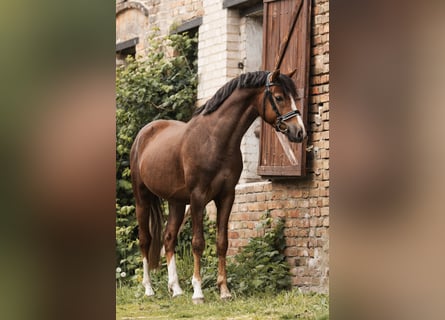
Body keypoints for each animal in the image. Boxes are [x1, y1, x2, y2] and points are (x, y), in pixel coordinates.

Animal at [129, 70, 306, 302]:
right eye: (278, 97)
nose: (299, 132)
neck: (214, 139)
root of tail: (144, 133)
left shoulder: (226, 196)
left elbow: (222, 242)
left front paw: (224, 291)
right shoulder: (198, 198)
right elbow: (198, 242)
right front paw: (198, 292)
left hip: (176, 202)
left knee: (168, 238)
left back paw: (176, 289)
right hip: (142, 198)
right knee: (145, 239)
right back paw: (149, 288)